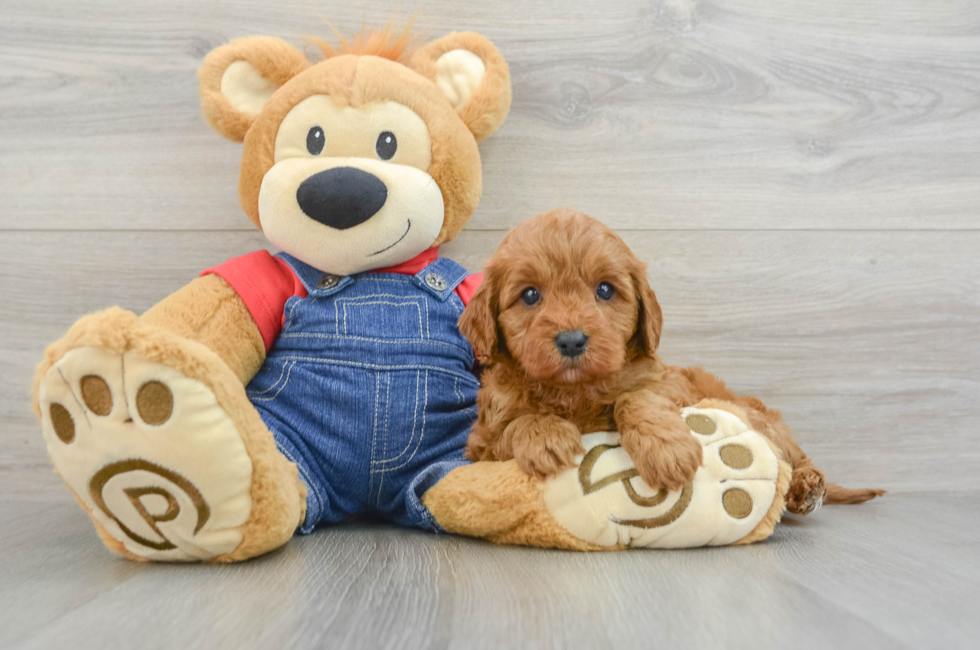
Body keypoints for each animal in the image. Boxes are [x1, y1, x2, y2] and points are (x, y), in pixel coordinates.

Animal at [464, 208, 884, 512]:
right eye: (530, 295)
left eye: (605, 290)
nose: (571, 340)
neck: (575, 391)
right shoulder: (479, 445)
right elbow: (512, 426)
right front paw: (545, 435)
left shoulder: (664, 384)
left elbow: (636, 398)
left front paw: (667, 451)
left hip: (761, 419)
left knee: (793, 457)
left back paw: (807, 486)